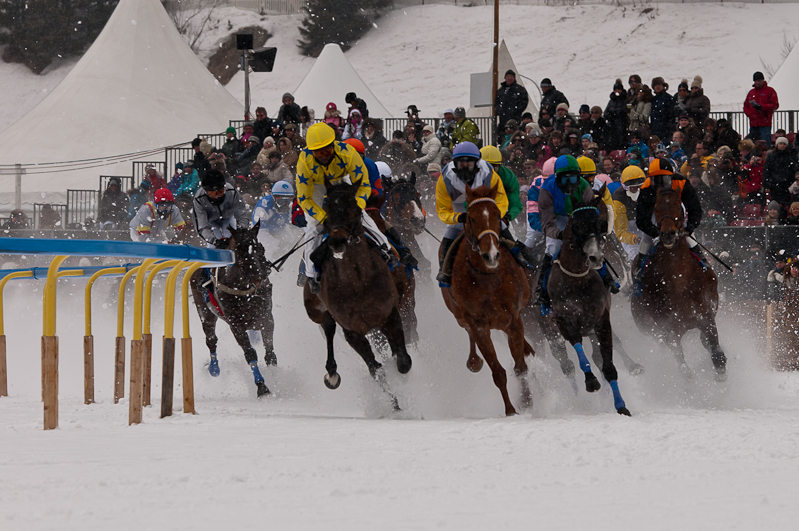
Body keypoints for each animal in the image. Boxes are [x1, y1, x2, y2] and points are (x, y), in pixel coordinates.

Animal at [190, 221, 276, 400]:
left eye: (260, 249)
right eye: (241, 254)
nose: (261, 280)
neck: (243, 289)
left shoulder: (266, 317)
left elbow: (270, 351)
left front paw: (277, 375)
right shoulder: (236, 325)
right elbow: (250, 353)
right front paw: (262, 387)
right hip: (205, 313)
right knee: (211, 339)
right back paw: (214, 369)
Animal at [302, 180, 412, 412]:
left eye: (354, 209)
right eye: (326, 209)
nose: (337, 241)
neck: (357, 282)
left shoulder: (390, 314)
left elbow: (403, 362)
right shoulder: (353, 332)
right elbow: (376, 370)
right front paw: (396, 406)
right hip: (316, 310)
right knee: (328, 328)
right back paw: (332, 373)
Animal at [440, 185, 536, 418]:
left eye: (497, 215)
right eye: (472, 218)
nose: (491, 254)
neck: (489, 279)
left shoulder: (513, 319)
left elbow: (520, 367)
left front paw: (527, 402)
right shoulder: (479, 325)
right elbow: (498, 372)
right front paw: (511, 411)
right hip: (459, 315)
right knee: (467, 331)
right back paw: (474, 360)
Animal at [548, 197, 636, 418]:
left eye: (599, 224)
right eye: (577, 225)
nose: (596, 258)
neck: (577, 281)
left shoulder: (601, 320)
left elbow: (608, 366)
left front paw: (621, 405)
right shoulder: (564, 322)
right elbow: (581, 356)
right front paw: (591, 381)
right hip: (548, 333)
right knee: (566, 364)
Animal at [636, 189, 728, 380]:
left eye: (679, 206)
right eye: (656, 207)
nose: (668, 234)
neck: (679, 279)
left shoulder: (706, 315)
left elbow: (714, 349)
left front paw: (720, 367)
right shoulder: (669, 329)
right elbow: (682, 364)